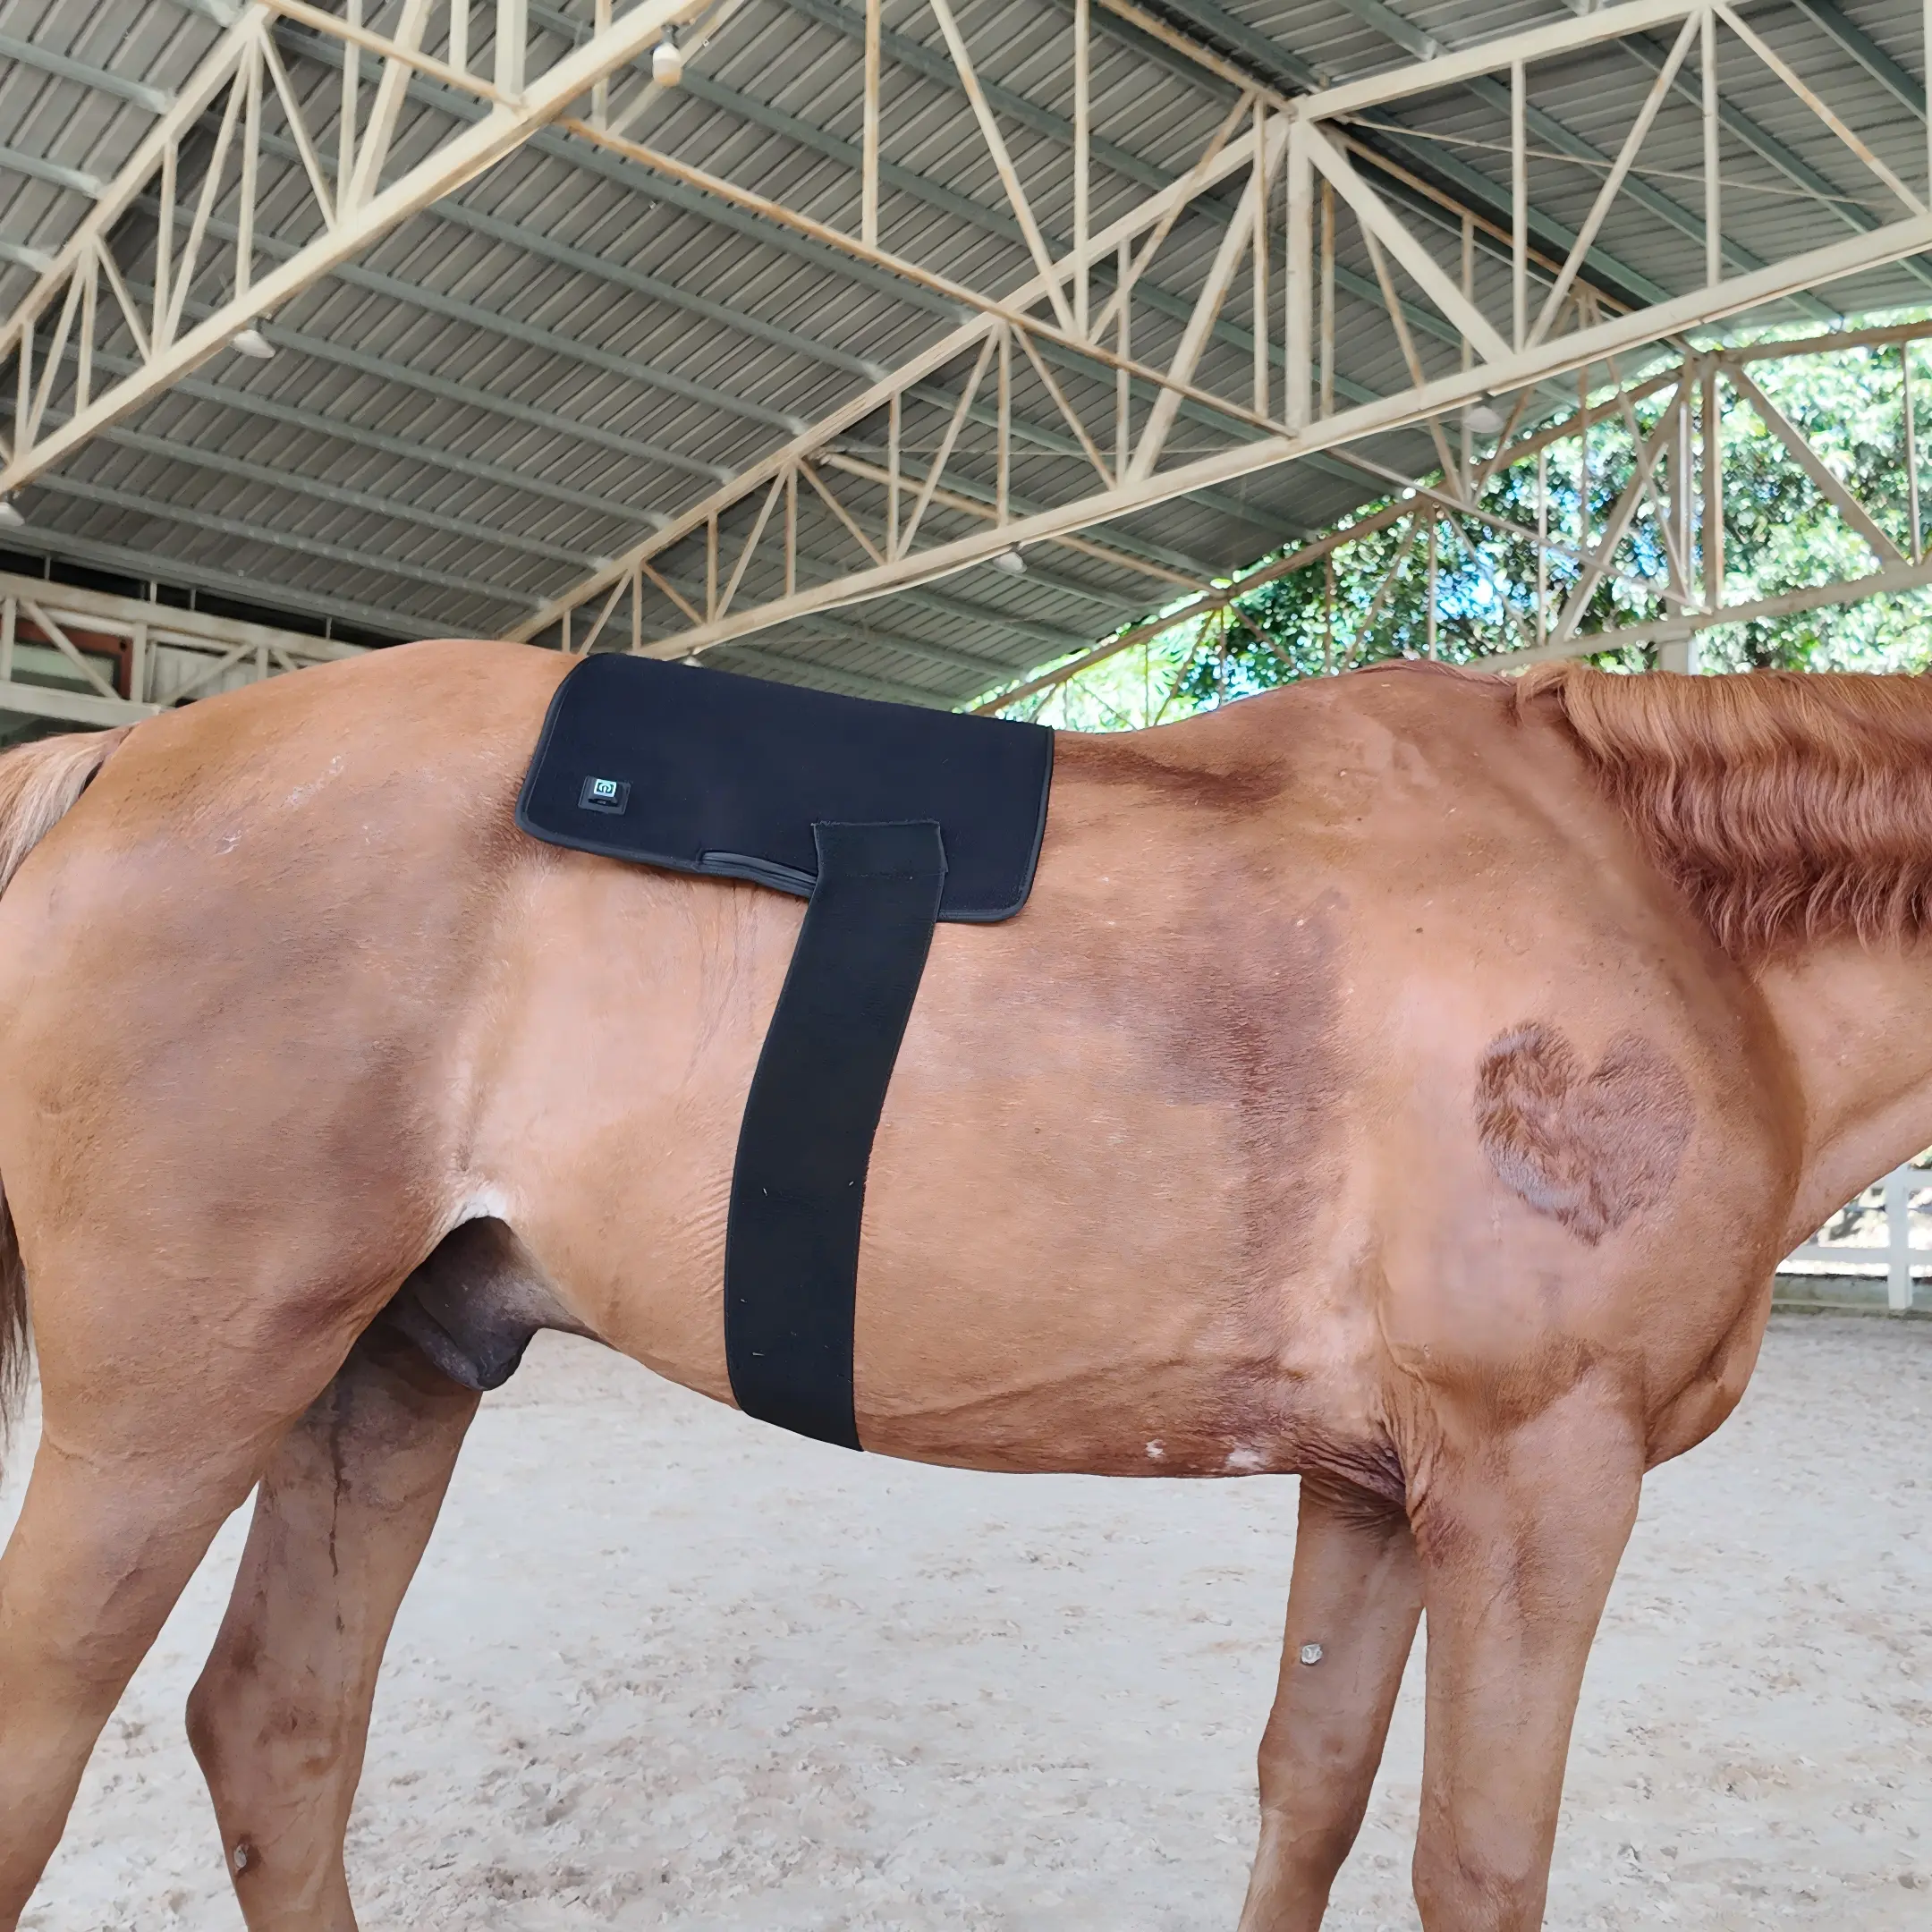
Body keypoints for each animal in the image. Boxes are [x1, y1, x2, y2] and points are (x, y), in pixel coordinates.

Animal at [0, 639, 1921, 1930]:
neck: (1659, 915)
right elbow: (1479, 1861)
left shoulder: (1380, 1487)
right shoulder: (1540, 1483)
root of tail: (115, 756)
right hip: (176, 1405)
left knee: (277, 1731)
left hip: (388, 1370)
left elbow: (1309, 1787)